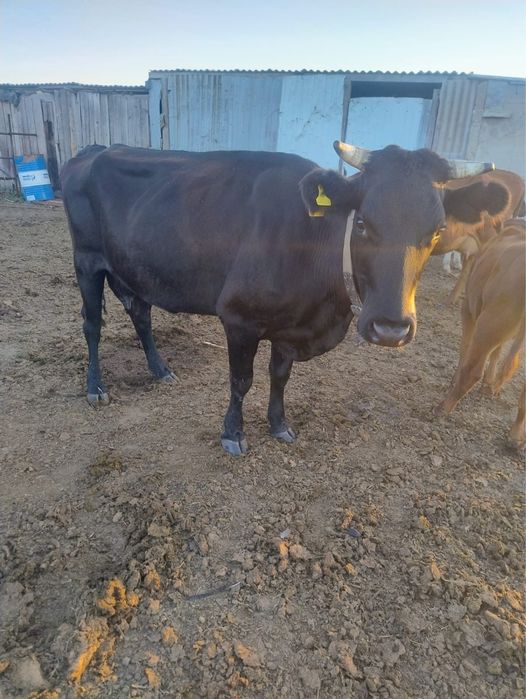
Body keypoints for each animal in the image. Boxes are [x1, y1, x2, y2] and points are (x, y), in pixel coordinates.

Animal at [61, 141, 509, 455]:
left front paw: (279, 425)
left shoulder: (290, 327)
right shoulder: (238, 318)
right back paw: (95, 386)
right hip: (86, 259)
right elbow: (241, 380)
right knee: (92, 324)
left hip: (130, 268)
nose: (391, 329)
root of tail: (95, 149)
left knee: (140, 314)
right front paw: (233, 434)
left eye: (437, 231)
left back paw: (160, 369)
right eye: (362, 223)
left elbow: (279, 377)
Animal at [437, 219, 526, 449]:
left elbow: (465, 350)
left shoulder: (469, 308)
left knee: (473, 370)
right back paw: (515, 437)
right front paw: (490, 384)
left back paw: (443, 407)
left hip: (487, 324)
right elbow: (497, 352)